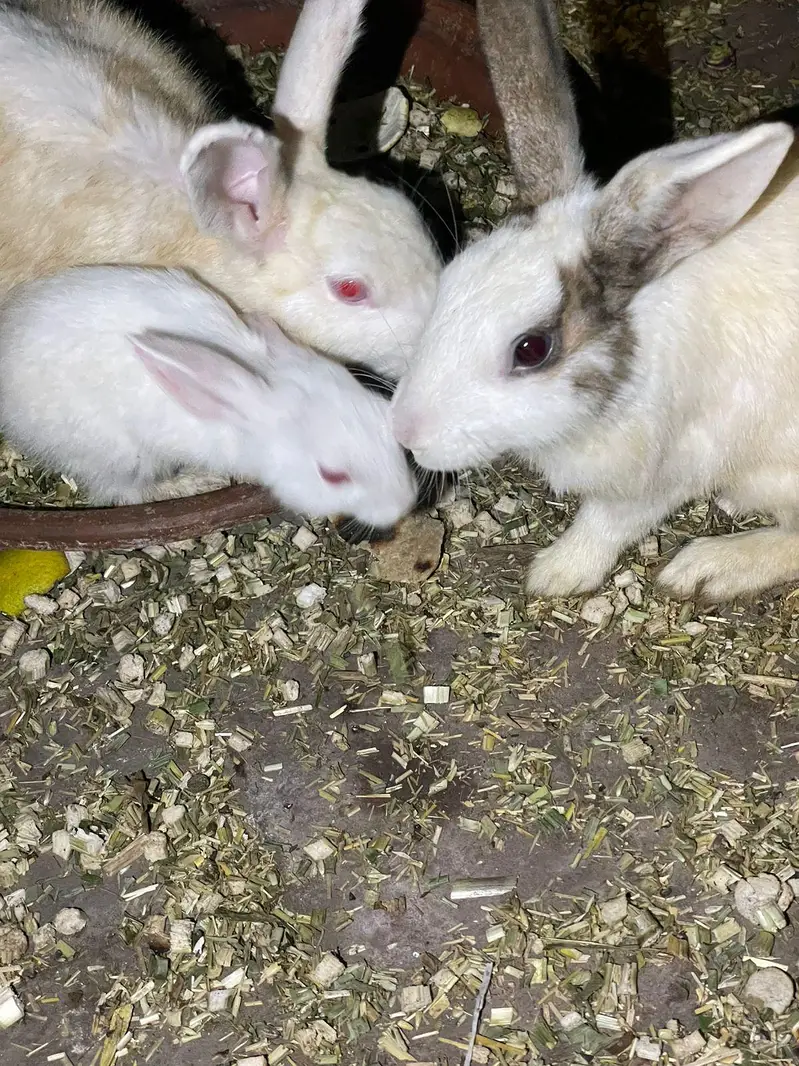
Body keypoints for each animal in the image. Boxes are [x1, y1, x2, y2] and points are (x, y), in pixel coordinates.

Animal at [0, 265, 419, 530]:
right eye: (332, 476)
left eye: (384, 419)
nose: (404, 505)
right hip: (114, 454)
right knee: (125, 493)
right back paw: (197, 483)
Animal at [390, 0, 799, 605]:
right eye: (449, 283)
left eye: (531, 349)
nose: (405, 434)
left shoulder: (662, 473)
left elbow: (607, 523)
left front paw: (555, 574)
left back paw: (707, 566)